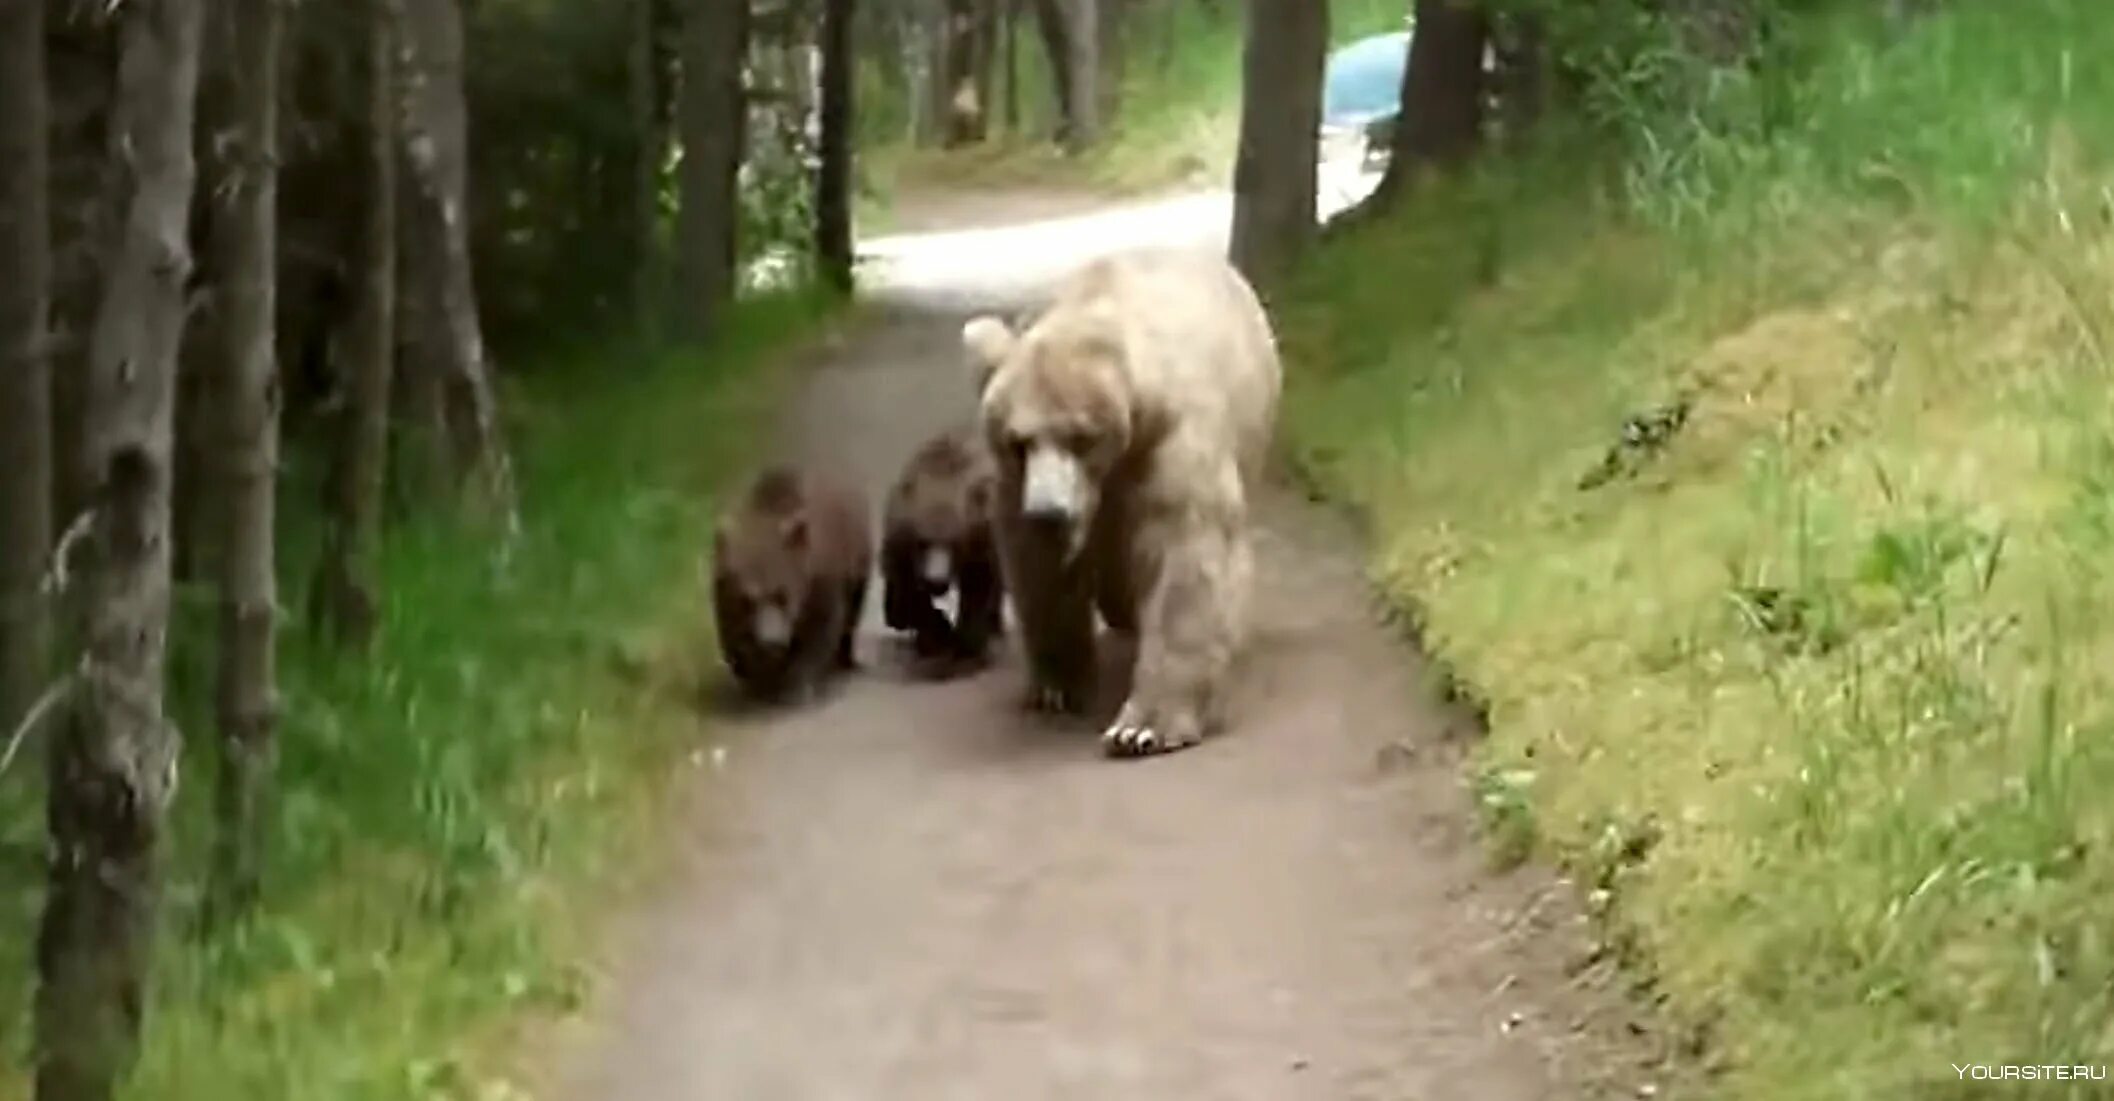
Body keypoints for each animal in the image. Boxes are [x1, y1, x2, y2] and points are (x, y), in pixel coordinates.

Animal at [714, 458, 870, 701]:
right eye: (747, 598)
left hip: (857, 562)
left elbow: (819, 630)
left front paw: (796, 684)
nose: (770, 641)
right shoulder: (724, 593)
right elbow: (732, 633)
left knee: (852, 612)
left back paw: (845, 660)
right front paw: (755, 677)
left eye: (782, 594)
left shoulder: (821, 580)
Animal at [968, 247, 1276, 756]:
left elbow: (1183, 557)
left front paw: (1143, 727)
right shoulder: (1018, 483)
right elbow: (1039, 567)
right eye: (1018, 440)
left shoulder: (1172, 442)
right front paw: (1057, 686)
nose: (1049, 512)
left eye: (1080, 437)